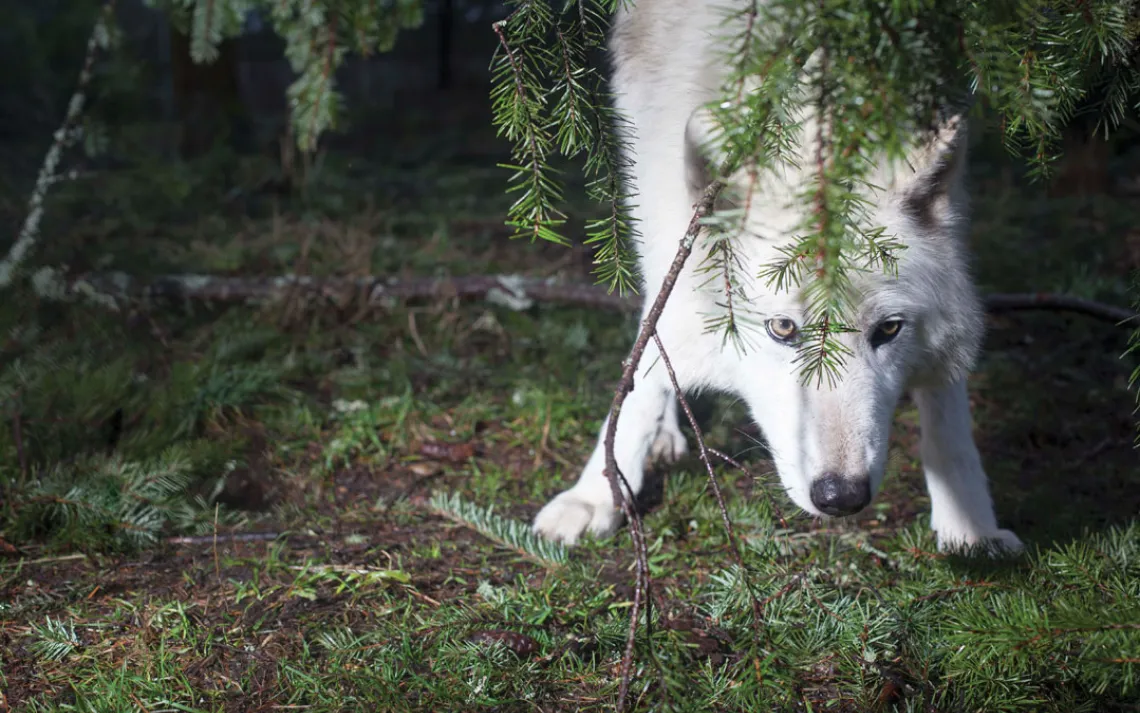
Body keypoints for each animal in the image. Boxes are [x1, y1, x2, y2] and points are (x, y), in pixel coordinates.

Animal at [531, 0, 1023, 553]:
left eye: (890, 329)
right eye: (782, 329)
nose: (841, 496)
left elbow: (948, 404)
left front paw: (971, 525)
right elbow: (646, 364)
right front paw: (595, 494)